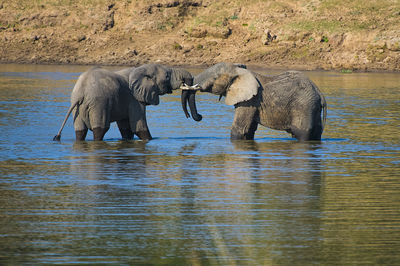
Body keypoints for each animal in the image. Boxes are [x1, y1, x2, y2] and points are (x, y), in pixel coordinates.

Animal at [53, 63, 195, 141]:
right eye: (167, 76)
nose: (190, 116)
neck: (141, 69)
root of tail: (81, 92)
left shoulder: (125, 100)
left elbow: (126, 129)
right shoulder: (134, 99)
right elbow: (139, 128)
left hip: (77, 107)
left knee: (80, 132)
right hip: (99, 104)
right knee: (100, 130)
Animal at [183, 62, 326, 141]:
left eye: (214, 78)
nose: (200, 116)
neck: (239, 70)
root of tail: (320, 93)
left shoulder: (250, 100)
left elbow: (239, 129)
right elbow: (250, 130)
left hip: (303, 106)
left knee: (301, 133)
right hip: (313, 107)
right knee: (316, 133)